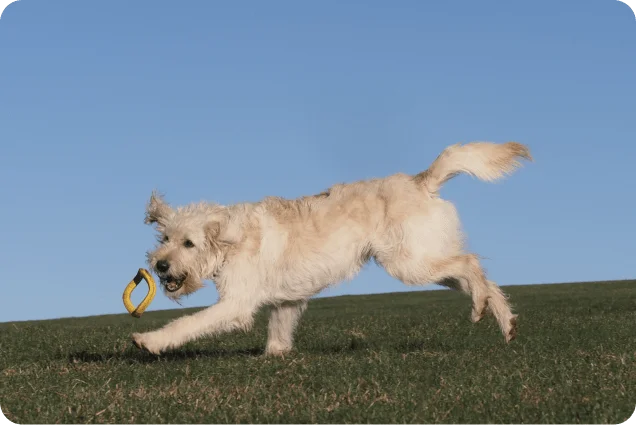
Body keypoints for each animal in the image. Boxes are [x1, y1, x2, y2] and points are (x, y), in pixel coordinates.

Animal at [133, 142, 532, 354]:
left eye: (188, 243)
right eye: (164, 239)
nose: (161, 266)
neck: (230, 239)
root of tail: (421, 180)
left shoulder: (236, 304)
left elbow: (189, 322)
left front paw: (150, 340)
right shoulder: (286, 302)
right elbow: (278, 338)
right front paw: (275, 357)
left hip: (410, 263)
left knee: (470, 262)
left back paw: (481, 308)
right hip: (427, 261)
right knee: (482, 278)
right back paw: (505, 322)